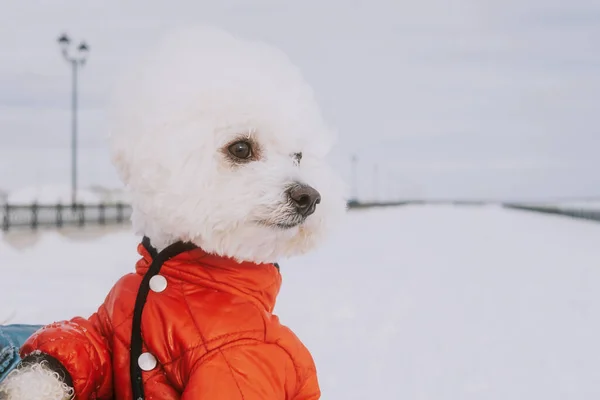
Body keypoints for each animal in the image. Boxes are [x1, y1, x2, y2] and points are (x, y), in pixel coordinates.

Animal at [0, 26, 344, 398]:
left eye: (298, 156)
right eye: (241, 148)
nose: (309, 196)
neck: (179, 270)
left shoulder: (239, 362)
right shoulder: (107, 321)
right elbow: (78, 346)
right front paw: (29, 385)